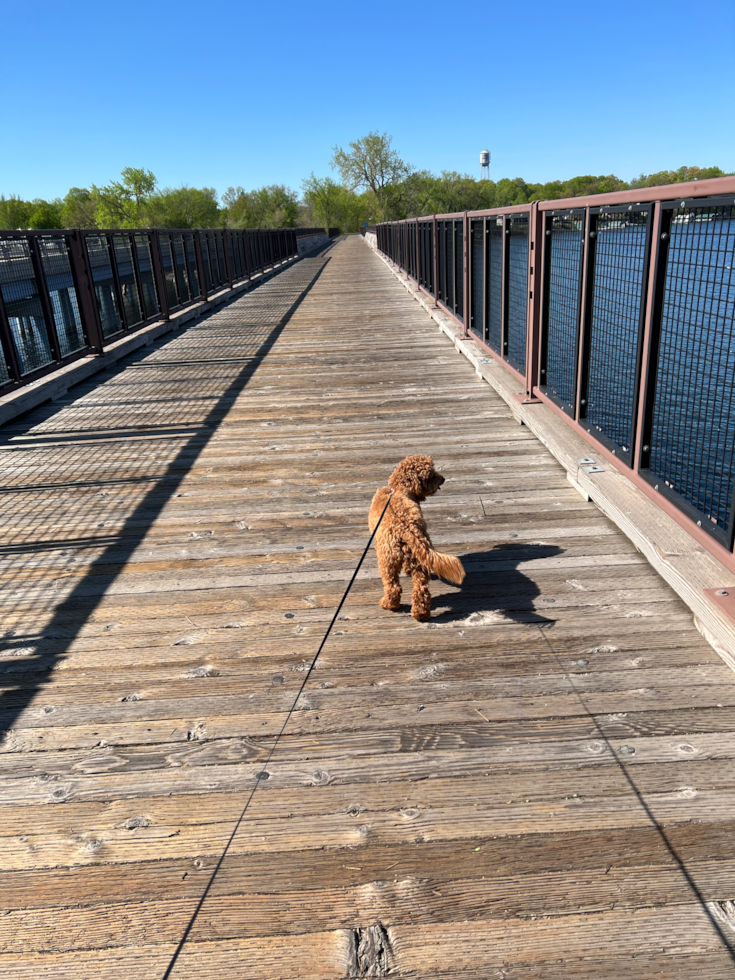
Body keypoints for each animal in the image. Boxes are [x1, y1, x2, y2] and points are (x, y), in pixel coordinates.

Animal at [368, 458, 466, 624]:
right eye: (431, 475)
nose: (443, 479)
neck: (399, 489)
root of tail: (407, 528)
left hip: (388, 559)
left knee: (393, 586)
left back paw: (388, 604)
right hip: (417, 558)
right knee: (421, 589)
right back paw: (421, 614)